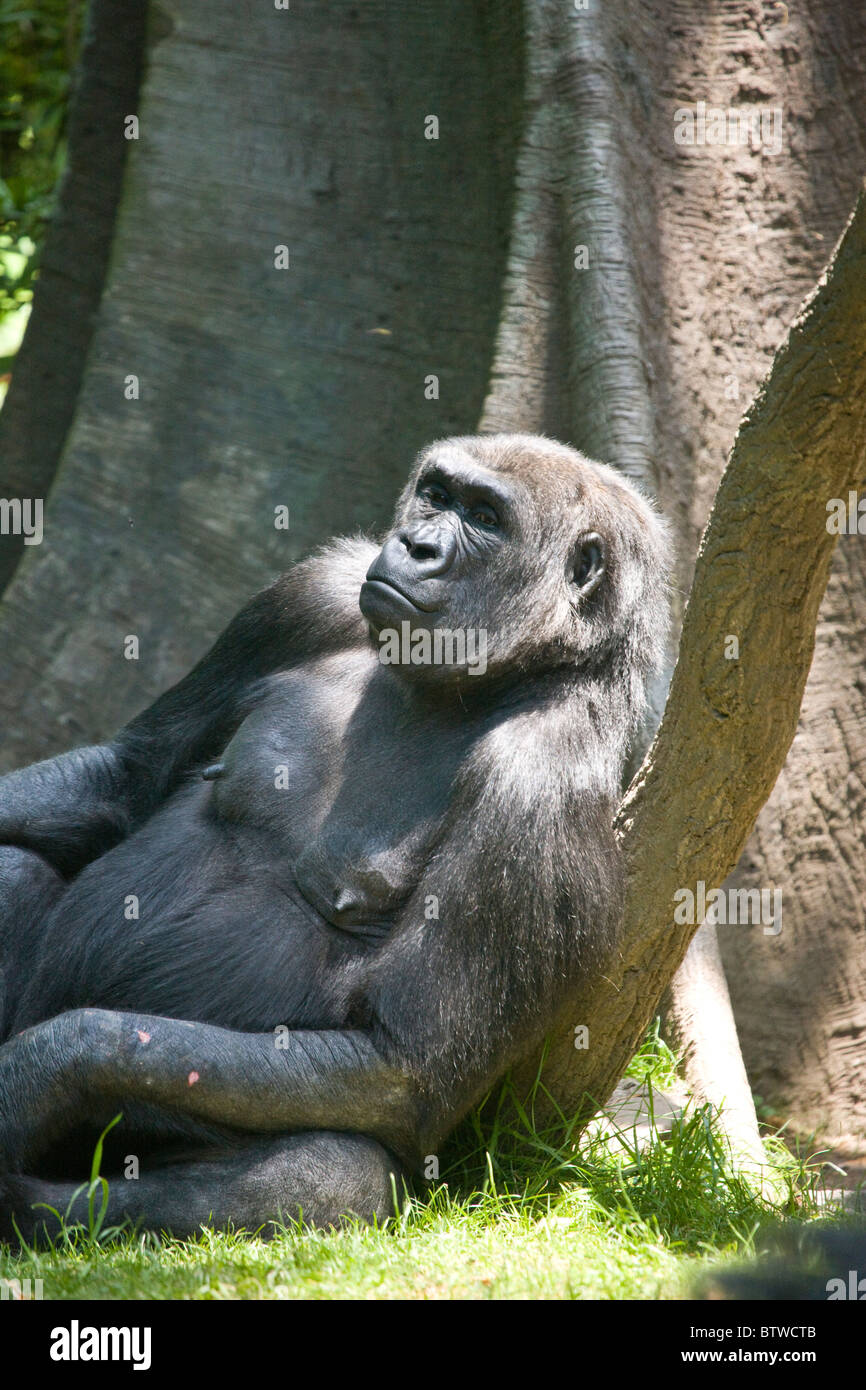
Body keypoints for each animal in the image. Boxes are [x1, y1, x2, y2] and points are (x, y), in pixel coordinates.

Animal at [0, 433, 670, 1239]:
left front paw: (36, 1073)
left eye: (486, 518)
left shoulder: (539, 786)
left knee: (331, 1173)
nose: (415, 545)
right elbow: (130, 777)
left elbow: (397, 1065)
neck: (508, 673)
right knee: (16, 868)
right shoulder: (310, 595)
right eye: (437, 495)